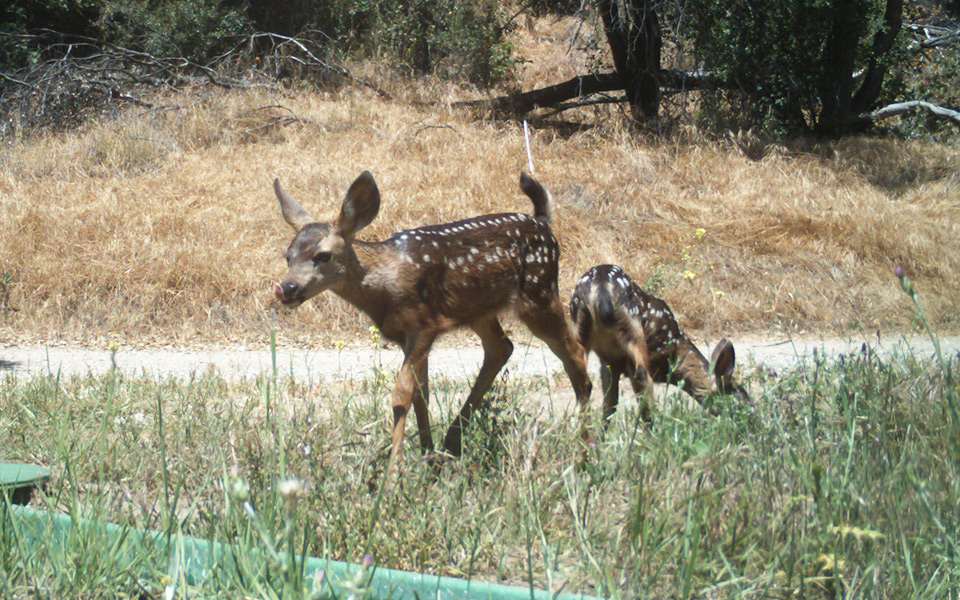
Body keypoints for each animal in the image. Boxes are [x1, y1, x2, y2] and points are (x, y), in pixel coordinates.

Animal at [273, 171, 592, 484]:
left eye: (323, 255)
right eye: (288, 256)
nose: (286, 288)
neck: (384, 283)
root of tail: (544, 222)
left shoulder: (424, 324)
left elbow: (402, 395)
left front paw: (393, 480)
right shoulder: (407, 335)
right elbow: (420, 394)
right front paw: (427, 459)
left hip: (539, 293)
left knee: (575, 352)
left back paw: (583, 456)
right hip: (480, 309)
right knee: (502, 347)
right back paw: (452, 441)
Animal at [569, 264, 746, 423]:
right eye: (740, 399)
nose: (748, 421)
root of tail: (601, 288)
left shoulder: (610, 361)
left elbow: (610, 405)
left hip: (580, 329)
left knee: (583, 382)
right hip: (633, 331)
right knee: (642, 375)